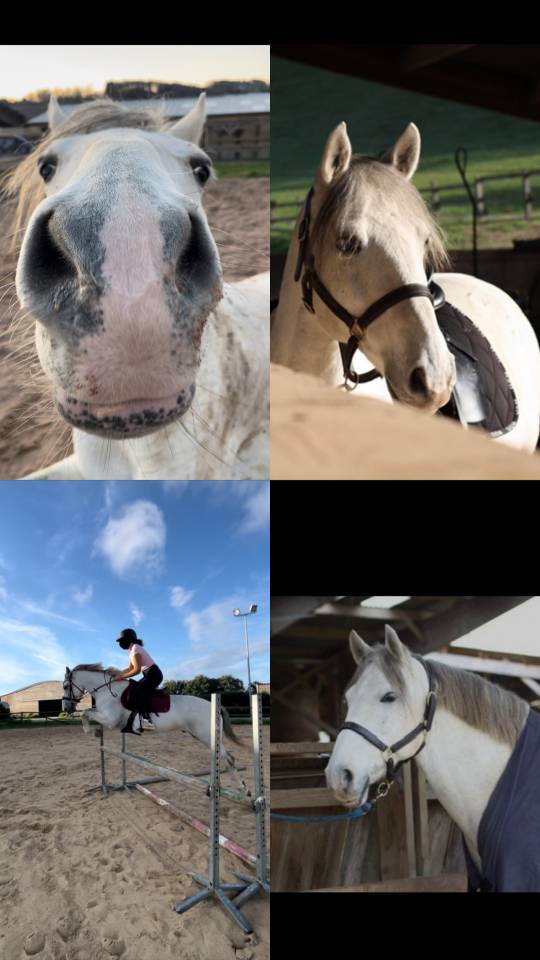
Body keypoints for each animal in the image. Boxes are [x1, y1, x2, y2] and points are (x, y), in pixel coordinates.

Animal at [63, 663, 246, 786]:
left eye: (65, 686)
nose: (65, 708)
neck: (107, 690)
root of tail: (215, 706)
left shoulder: (110, 719)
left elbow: (85, 713)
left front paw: (92, 732)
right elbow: (88, 711)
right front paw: (95, 732)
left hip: (208, 737)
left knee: (229, 759)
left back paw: (241, 790)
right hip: (200, 736)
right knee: (227, 758)